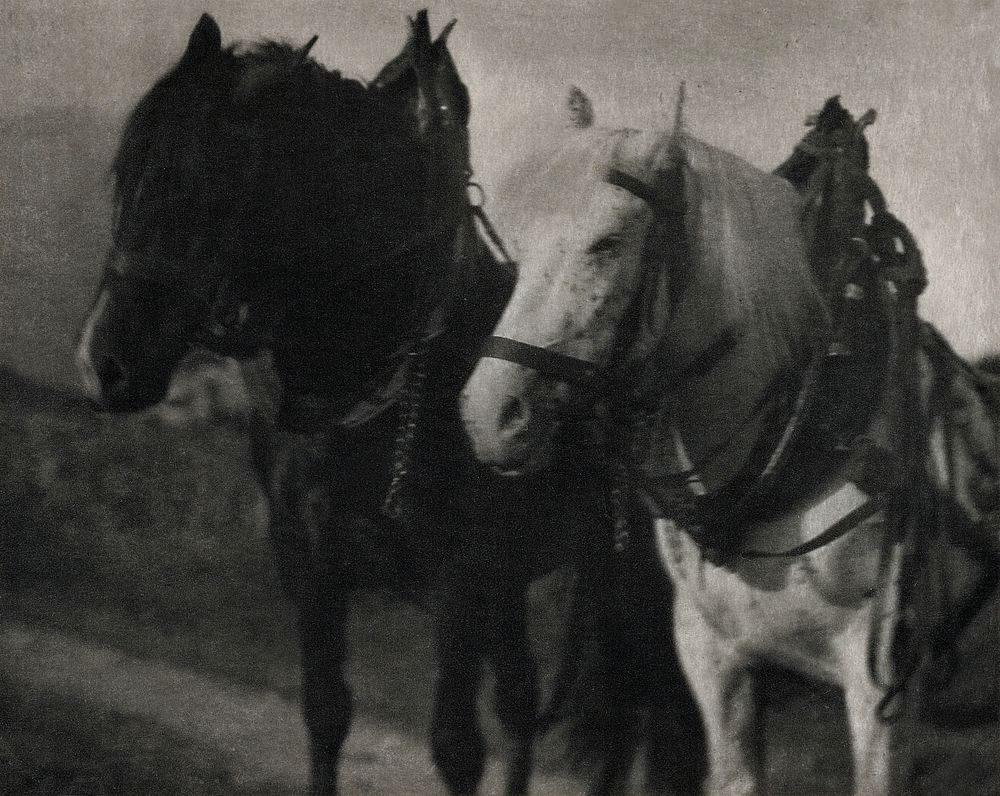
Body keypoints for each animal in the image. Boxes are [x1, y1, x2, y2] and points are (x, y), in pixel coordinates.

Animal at [76, 12, 704, 796]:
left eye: (213, 189)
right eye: (128, 173)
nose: (104, 363)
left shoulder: (462, 587)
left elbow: (456, 746)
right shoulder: (316, 575)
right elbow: (325, 714)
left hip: (636, 588)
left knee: (646, 718)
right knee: (533, 700)